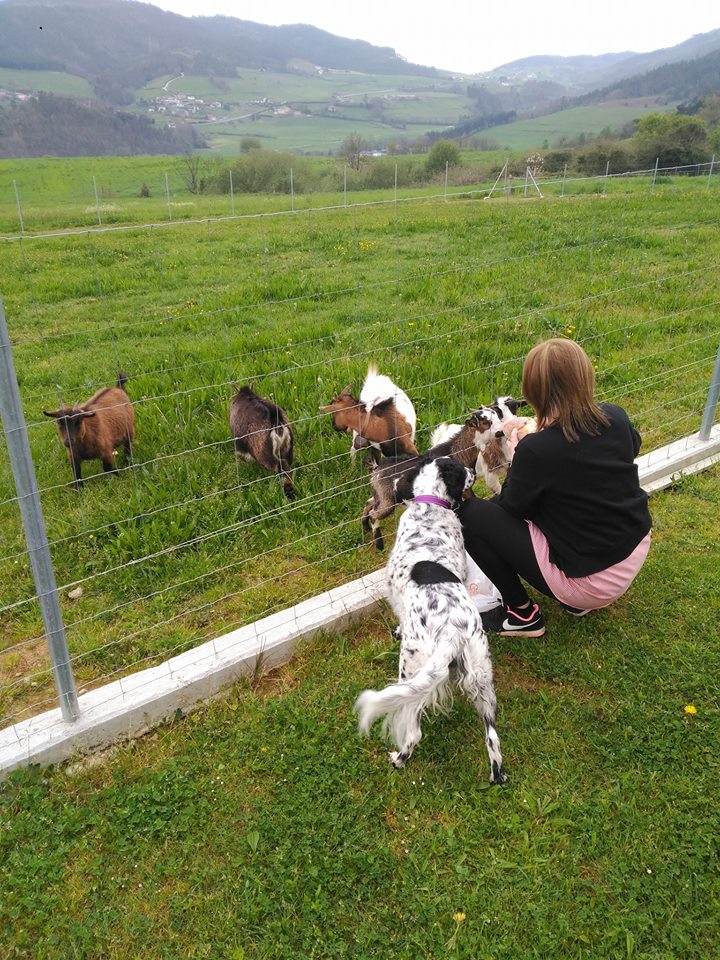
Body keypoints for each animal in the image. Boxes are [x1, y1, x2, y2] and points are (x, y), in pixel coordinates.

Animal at [354, 456, 506, 780]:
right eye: (461, 468)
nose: (473, 471)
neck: (430, 506)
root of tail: (452, 630)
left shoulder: (393, 592)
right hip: (482, 675)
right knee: (492, 736)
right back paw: (497, 774)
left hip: (411, 668)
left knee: (413, 732)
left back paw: (398, 758)